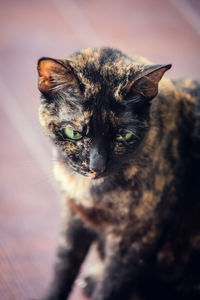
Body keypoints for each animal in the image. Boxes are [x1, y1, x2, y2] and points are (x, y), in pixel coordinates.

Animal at [36, 47, 200, 300]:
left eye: (124, 136)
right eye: (74, 133)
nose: (96, 166)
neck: (90, 192)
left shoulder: (134, 240)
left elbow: (110, 287)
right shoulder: (74, 216)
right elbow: (63, 267)